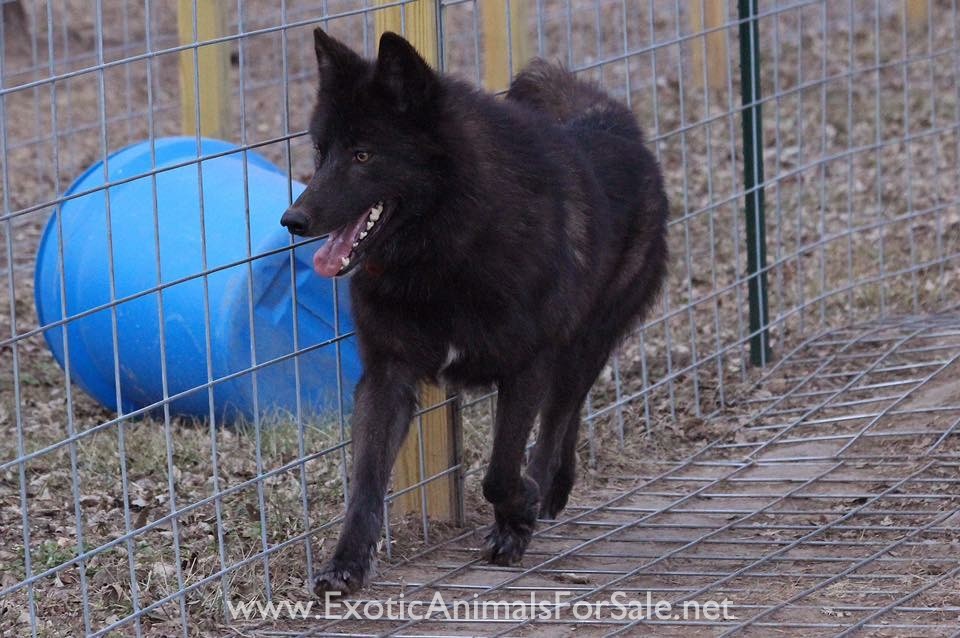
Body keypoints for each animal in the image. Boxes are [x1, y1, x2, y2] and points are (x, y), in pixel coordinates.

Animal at [280, 29, 669, 596]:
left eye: (363, 154)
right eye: (320, 149)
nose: (293, 219)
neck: (442, 253)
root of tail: (614, 123)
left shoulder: (527, 365)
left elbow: (499, 473)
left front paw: (517, 515)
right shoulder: (386, 376)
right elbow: (365, 484)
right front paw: (346, 563)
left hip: (582, 346)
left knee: (561, 413)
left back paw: (540, 491)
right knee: (567, 414)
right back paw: (556, 488)